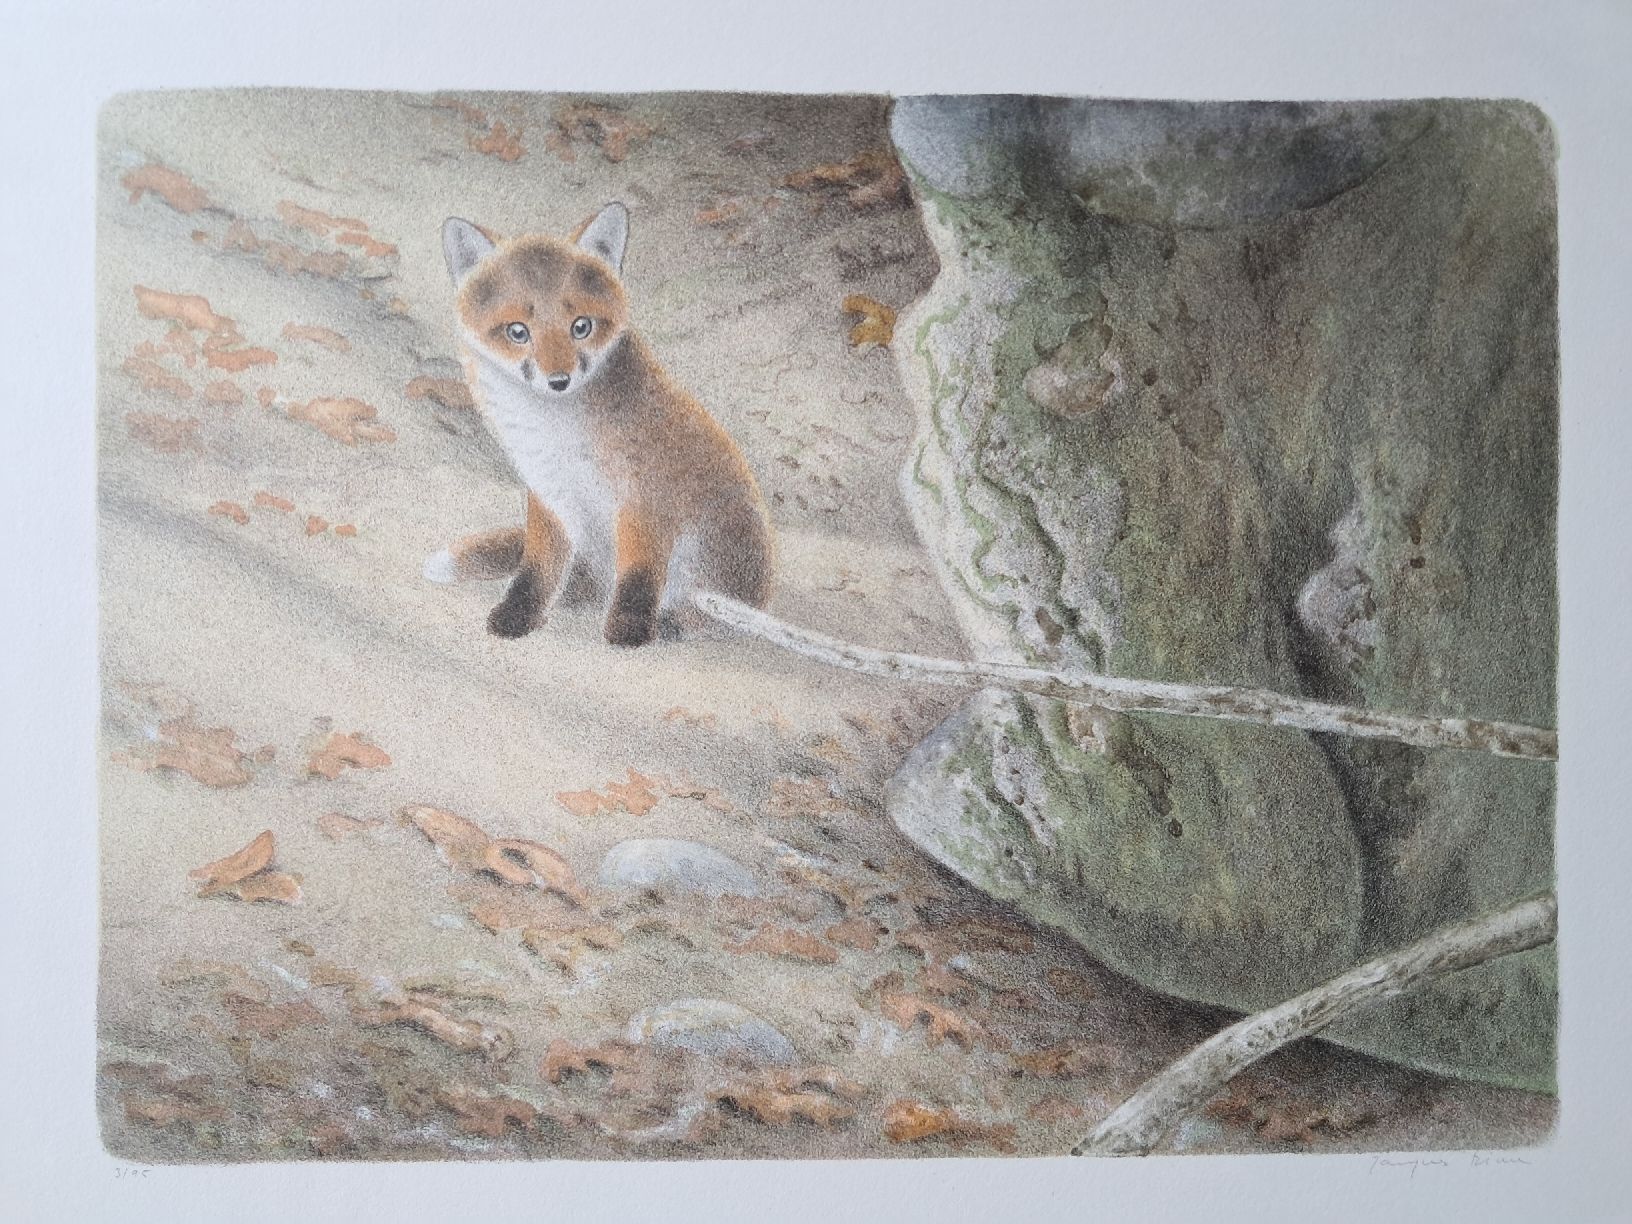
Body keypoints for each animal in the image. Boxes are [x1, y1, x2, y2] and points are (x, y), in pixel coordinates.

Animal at [426, 203, 774, 647]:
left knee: (703, 611)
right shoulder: (549, 493)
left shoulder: (644, 500)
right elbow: (535, 571)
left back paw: (672, 622)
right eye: (518, 332)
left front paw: (628, 630)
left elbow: (639, 576)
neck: (559, 436)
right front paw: (518, 616)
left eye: (581, 326)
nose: (559, 381)